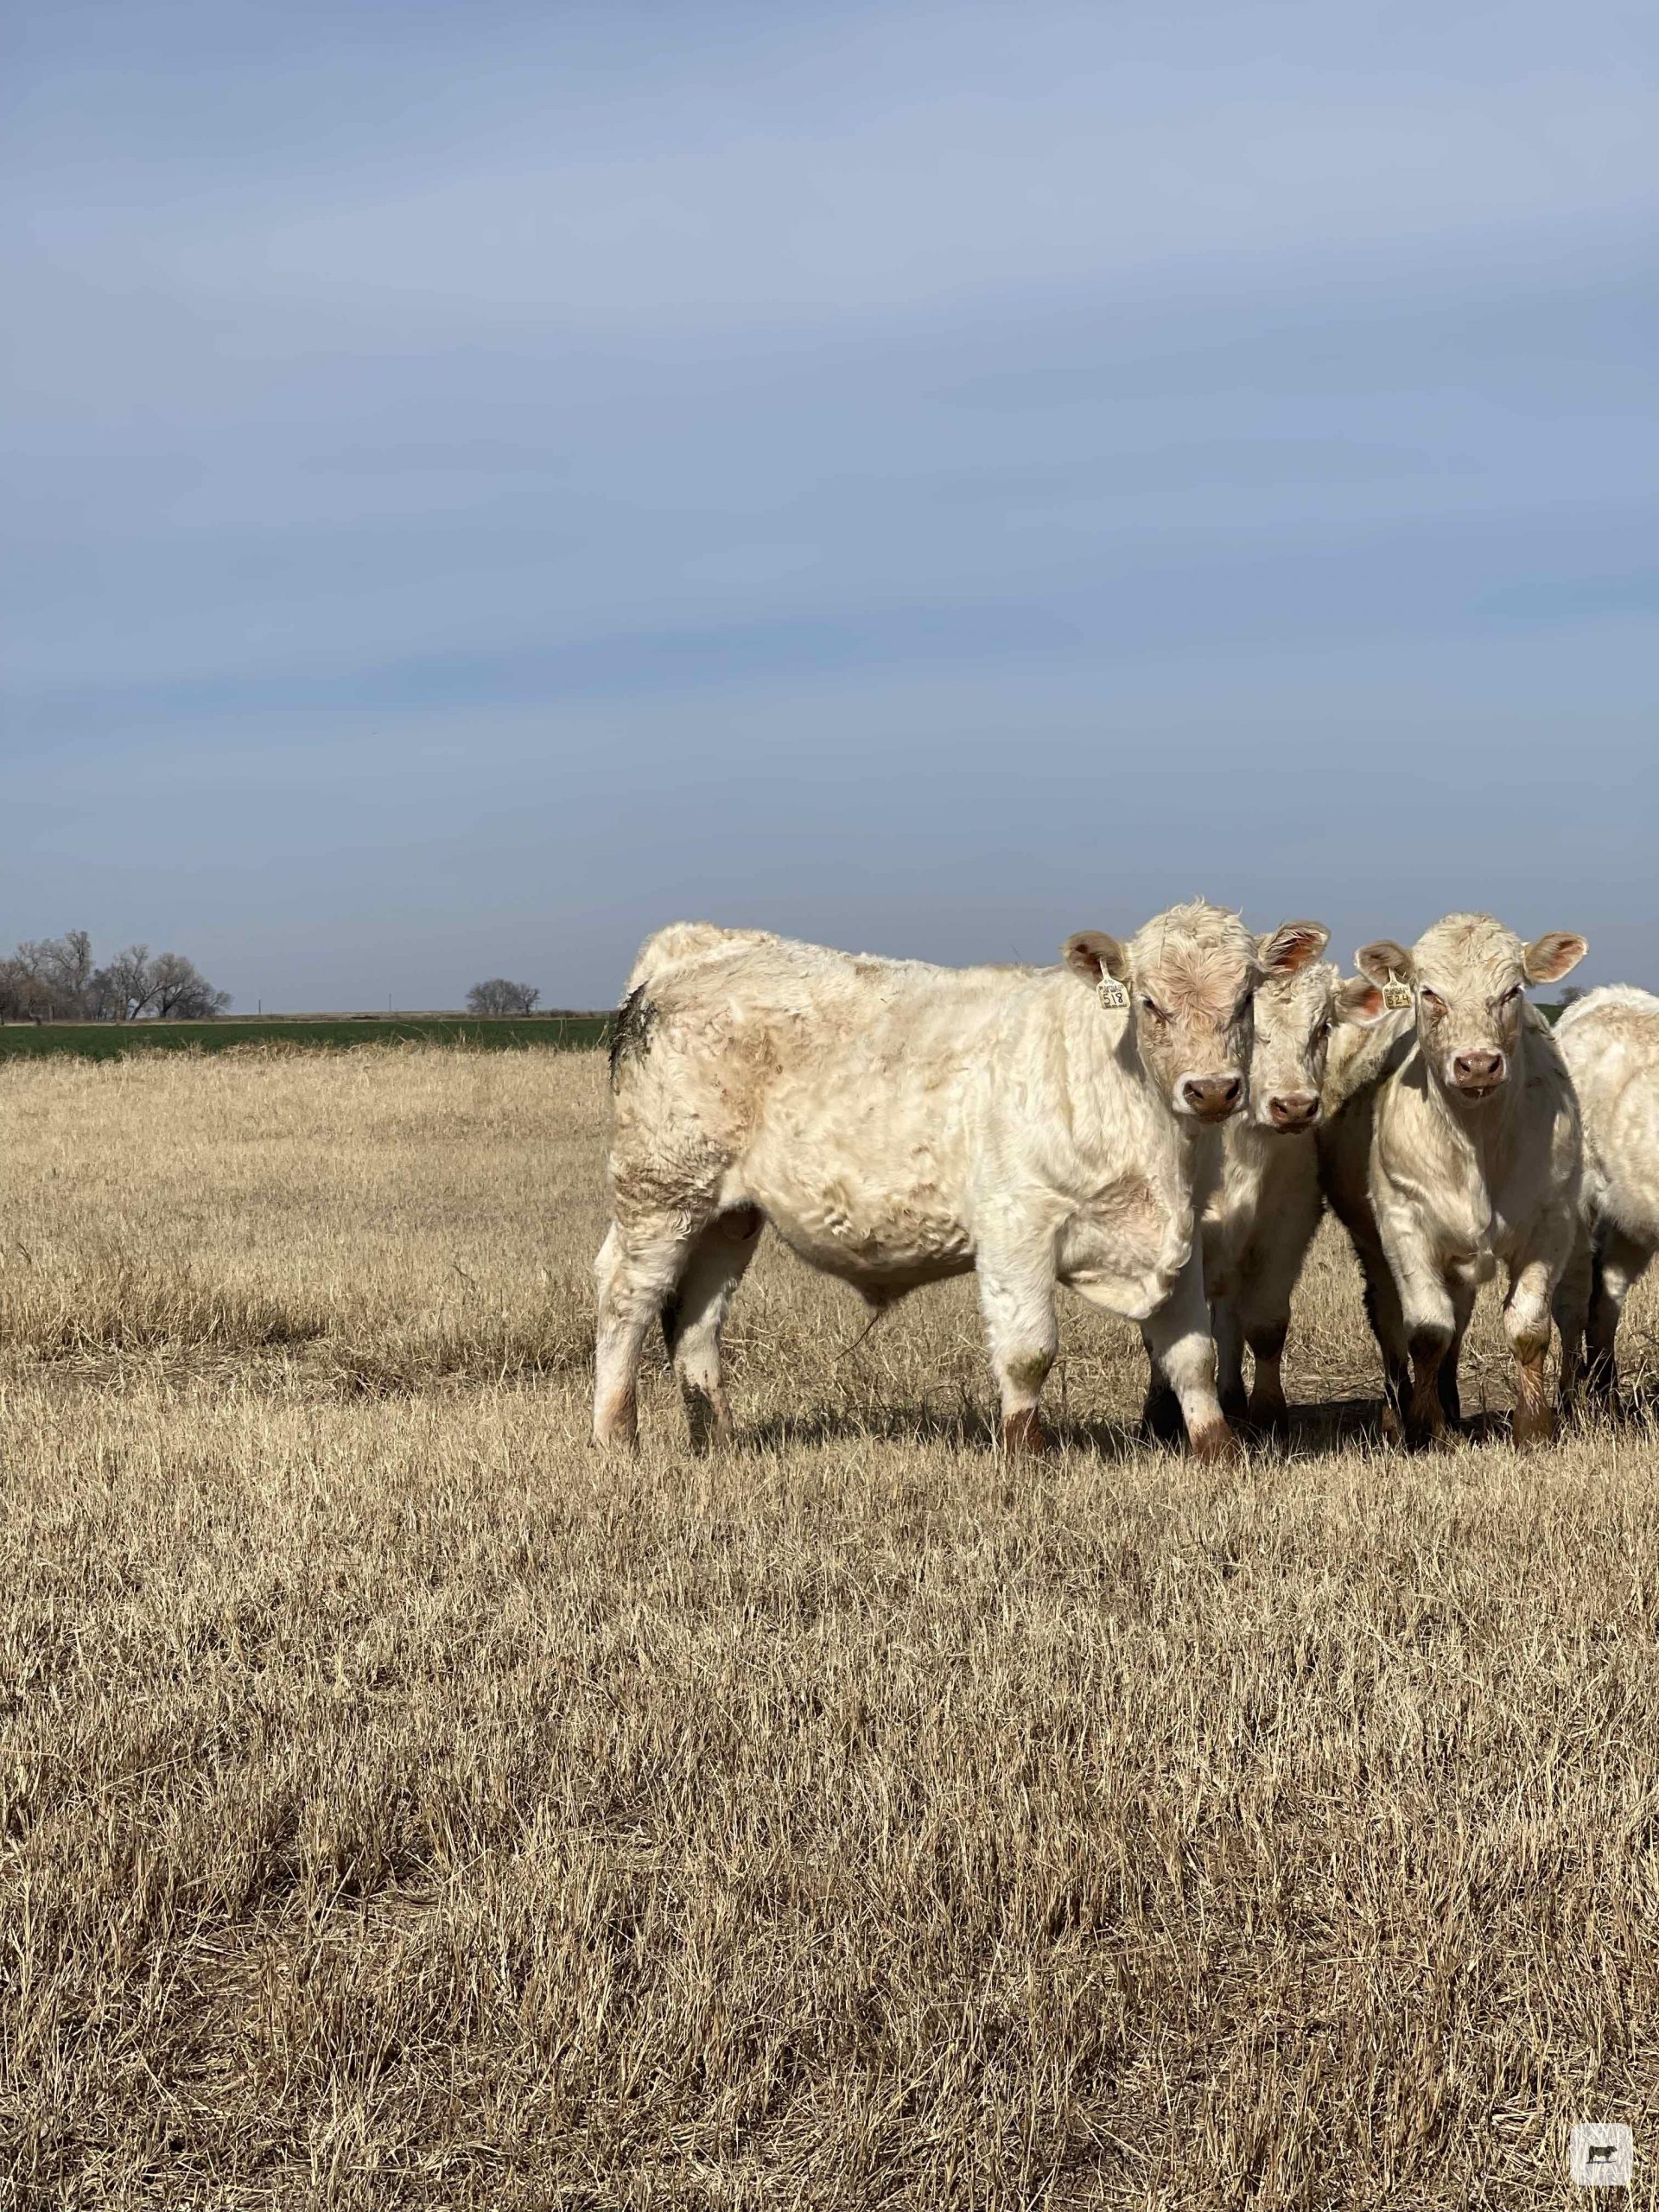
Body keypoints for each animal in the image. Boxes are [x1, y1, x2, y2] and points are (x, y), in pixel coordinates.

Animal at [594, 901, 1330, 1462]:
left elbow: (1193, 1355)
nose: (1212, 1089)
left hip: (727, 1215)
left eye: (1245, 999)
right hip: (660, 1192)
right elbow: (1029, 1351)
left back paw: (715, 1438)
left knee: (697, 1314)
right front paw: (1026, 1455)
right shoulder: (1016, 1228)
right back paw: (617, 1438)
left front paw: (1218, 1452)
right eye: (1149, 1003)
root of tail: (692, 951)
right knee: (626, 1298)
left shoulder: (1179, 1235)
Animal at [1142, 944, 1384, 1437]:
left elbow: (1267, 1326)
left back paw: (1233, 1400)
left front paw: (1269, 1413)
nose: (1294, 1106)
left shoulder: (1286, 1227)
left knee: (1228, 1318)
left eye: (1323, 1026)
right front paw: (1158, 1415)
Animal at [1318, 913, 1587, 1448]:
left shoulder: (1552, 1222)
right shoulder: (1404, 1224)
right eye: (1429, 993)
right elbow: (1427, 1330)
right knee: (1390, 1321)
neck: (1475, 1140)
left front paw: (1533, 1428)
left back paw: (1450, 1402)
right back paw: (1397, 1415)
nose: (1477, 1063)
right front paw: (1427, 1428)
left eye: (1511, 992)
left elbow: (1527, 1327)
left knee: (1458, 1317)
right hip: (1372, 1245)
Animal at [1550, 986, 1659, 1408]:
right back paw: (1568, 1403)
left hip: (1631, 1214)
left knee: (1607, 1297)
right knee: (1572, 1303)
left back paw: (1606, 1395)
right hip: (1572, 1203)